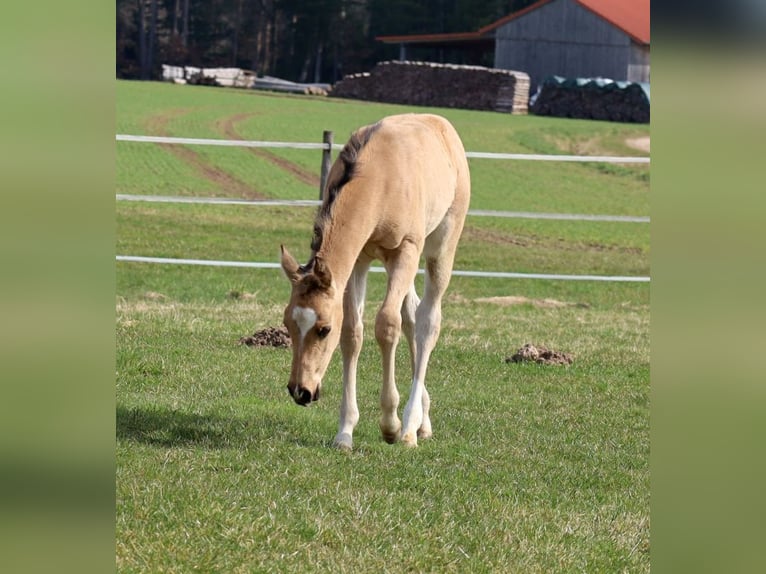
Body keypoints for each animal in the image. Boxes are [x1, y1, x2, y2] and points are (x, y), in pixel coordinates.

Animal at [280, 113, 470, 450]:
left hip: (437, 248)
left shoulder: (406, 250)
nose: (300, 391)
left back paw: (410, 427)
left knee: (427, 321)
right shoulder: (359, 260)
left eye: (323, 330)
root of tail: (442, 125)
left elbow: (386, 325)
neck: (380, 177)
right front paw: (345, 432)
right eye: (288, 324)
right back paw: (423, 421)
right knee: (412, 316)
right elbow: (353, 332)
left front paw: (391, 424)